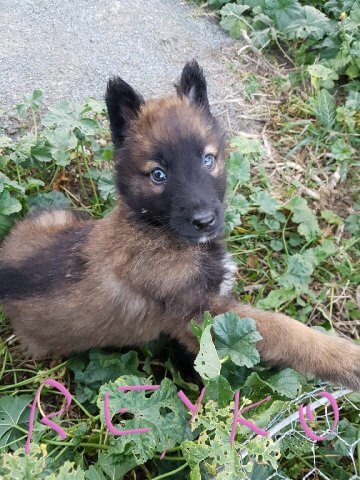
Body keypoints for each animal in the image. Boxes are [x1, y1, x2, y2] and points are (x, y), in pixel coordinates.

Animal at [0, 61, 360, 390]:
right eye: (159, 175)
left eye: (208, 160)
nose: (204, 221)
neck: (154, 229)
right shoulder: (201, 318)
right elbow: (285, 331)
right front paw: (344, 358)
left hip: (60, 215)